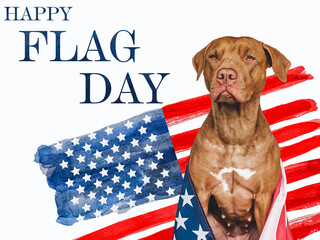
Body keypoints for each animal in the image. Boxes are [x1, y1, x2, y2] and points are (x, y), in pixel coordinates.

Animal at [189, 36, 292, 239]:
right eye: (213, 56)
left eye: (249, 57)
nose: (225, 75)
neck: (234, 133)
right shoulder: (200, 193)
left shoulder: (263, 198)